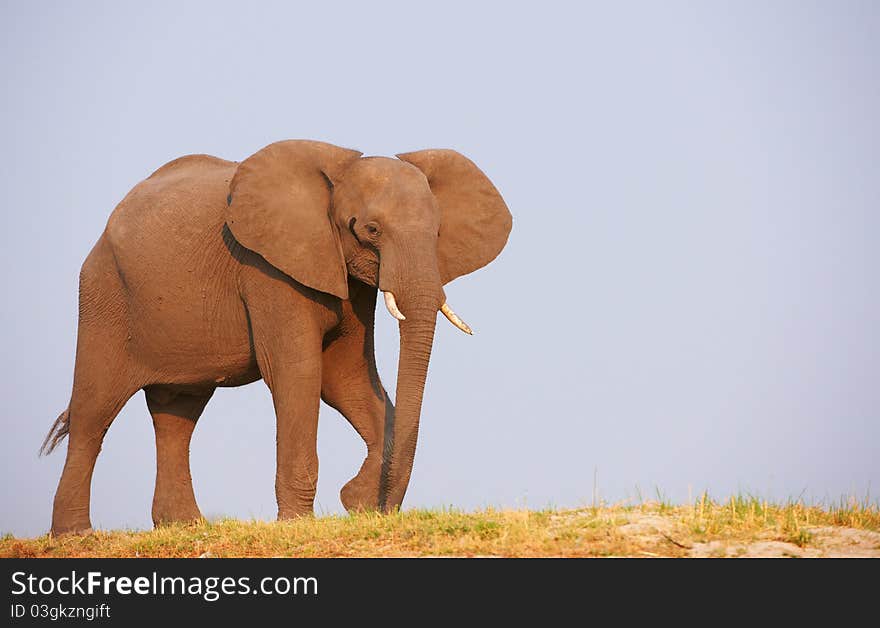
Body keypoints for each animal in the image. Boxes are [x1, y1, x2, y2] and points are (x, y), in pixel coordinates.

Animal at [41, 140, 512, 532]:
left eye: (437, 233)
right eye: (371, 230)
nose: (376, 506)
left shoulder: (343, 275)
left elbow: (347, 379)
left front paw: (356, 503)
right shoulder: (268, 270)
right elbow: (298, 374)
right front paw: (300, 523)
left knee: (177, 414)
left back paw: (184, 527)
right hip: (104, 296)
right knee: (94, 413)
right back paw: (74, 534)